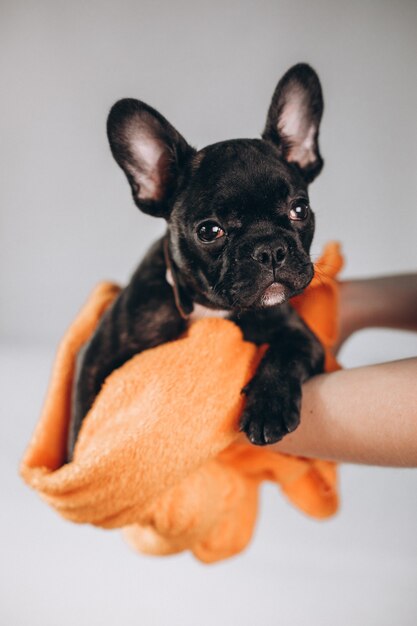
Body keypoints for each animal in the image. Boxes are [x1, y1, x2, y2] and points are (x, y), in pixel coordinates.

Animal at [66, 63, 324, 460]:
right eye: (209, 231)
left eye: (300, 209)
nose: (270, 249)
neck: (207, 308)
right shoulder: (94, 357)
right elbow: (82, 422)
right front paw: (76, 460)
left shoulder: (300, 334)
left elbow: (287, 353)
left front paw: (269, 407)